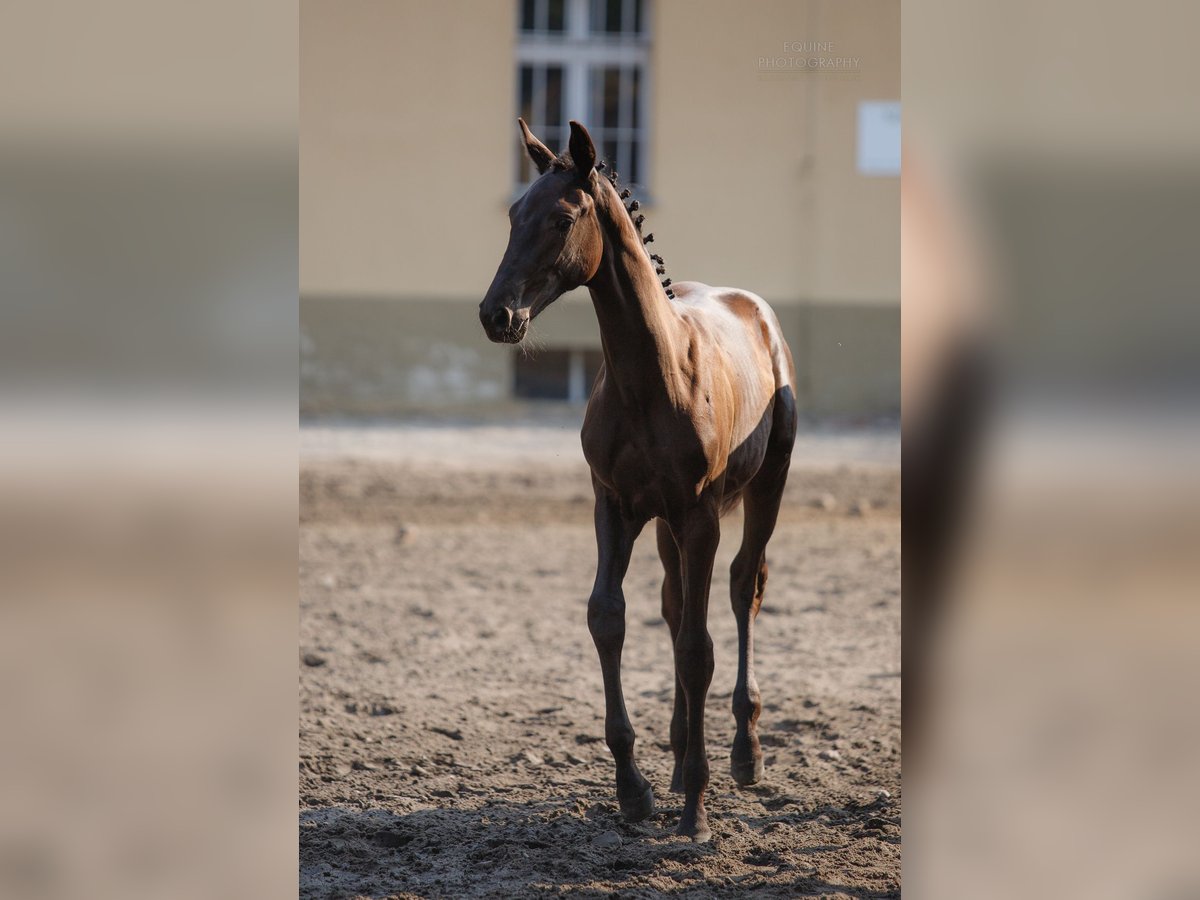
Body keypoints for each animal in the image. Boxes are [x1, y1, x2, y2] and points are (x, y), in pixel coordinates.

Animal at [477, 120, 796, 844]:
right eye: (513, 214)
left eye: (563, 218)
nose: (496, 315)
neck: (652, 376)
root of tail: (755, 309)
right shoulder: (615, 506)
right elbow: (609, 618)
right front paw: (636, 790)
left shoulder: (700, 513)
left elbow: (698, 648)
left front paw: (696, 810)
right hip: (665, 525)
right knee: (676, 602)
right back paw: (677, 761)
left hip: (763, 487)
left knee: (743, 588)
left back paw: (744, 753)